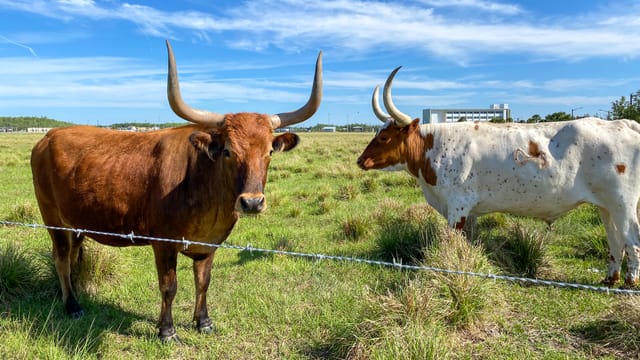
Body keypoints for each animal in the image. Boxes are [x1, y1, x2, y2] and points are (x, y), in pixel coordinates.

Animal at [31, 40, 320, 338]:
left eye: (269, 152)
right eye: (228, 151)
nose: (252, 203)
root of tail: (48, 135)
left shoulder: (208, 244)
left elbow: (203, 282)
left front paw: (203, 321)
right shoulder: (163, 243)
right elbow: (169, 287)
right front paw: (166, 330)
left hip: (77, 221)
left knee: (72, 255)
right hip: (52, 218)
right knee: (61, 258)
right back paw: (72, 306)